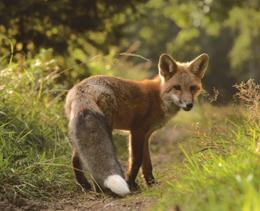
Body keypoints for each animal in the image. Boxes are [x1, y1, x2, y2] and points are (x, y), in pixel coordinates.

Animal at [65, 52, 209, 196]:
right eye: (177, 87)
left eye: (192, 88)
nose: (189, 105)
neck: (159, 96)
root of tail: (82, 88)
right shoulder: (137, 131)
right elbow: (136, 160)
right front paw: (131, 184)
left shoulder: (146, 135)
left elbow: (147, 164)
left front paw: (151, 183)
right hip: (106, 129)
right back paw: (102, 190)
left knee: (76, 159)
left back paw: (85, 186)